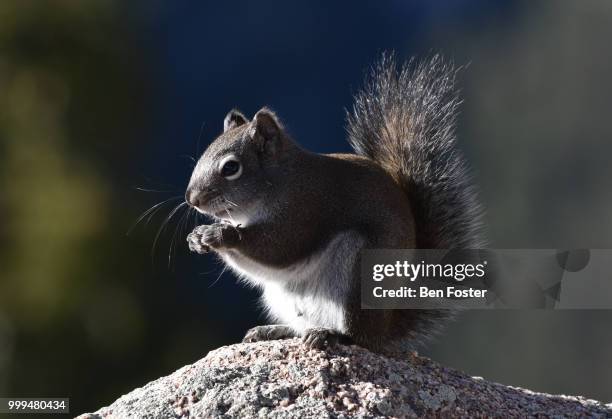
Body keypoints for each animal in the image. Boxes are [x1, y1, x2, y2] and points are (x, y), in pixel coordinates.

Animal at [185, 54, 482, 352]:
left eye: (231, 167)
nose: (192, 199)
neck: (281, 181)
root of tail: (385, 329)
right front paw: (196, 237)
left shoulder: (307, 209)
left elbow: (278, 249)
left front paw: (219, 234)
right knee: (300, 326)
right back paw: (274, 330)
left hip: (358, 273)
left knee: (358, 338)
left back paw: (332, 334)